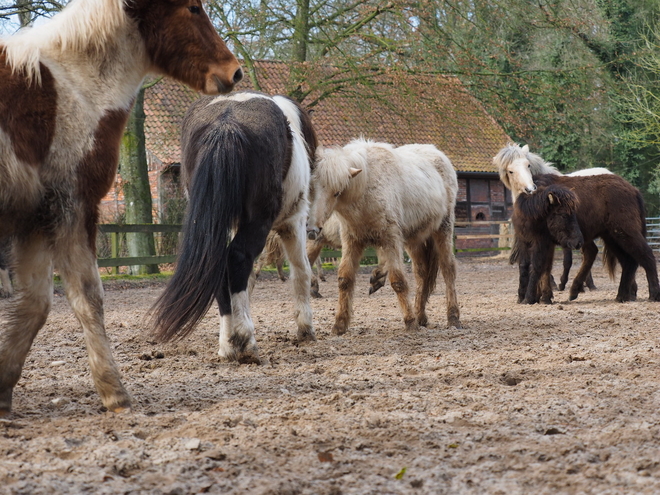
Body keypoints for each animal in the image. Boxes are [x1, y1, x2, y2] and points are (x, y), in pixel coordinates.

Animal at [0, 0, 242, 418]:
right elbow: (87, 298)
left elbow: (35, 304)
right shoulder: (72, 207)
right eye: (193, 8)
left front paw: (1, 390)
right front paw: (114, 391)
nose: (233, 71)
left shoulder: (37, 218)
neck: (75, 86)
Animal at [149, 93, 318, 364]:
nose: (315, 229)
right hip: (260, 220)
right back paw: (246, 340)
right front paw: (305, 329)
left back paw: (228, 344)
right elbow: (301, 270)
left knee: (218, 264)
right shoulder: (293, 223)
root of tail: (225, 123)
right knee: (238, 259)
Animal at [532, 174, 656, 306]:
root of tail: (633, 190)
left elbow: (543, 267)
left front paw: (544, 297)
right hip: (612, 238)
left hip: (626, 233)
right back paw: (621, 296)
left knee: (646, 255)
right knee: (628, 262)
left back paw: (653, 295)